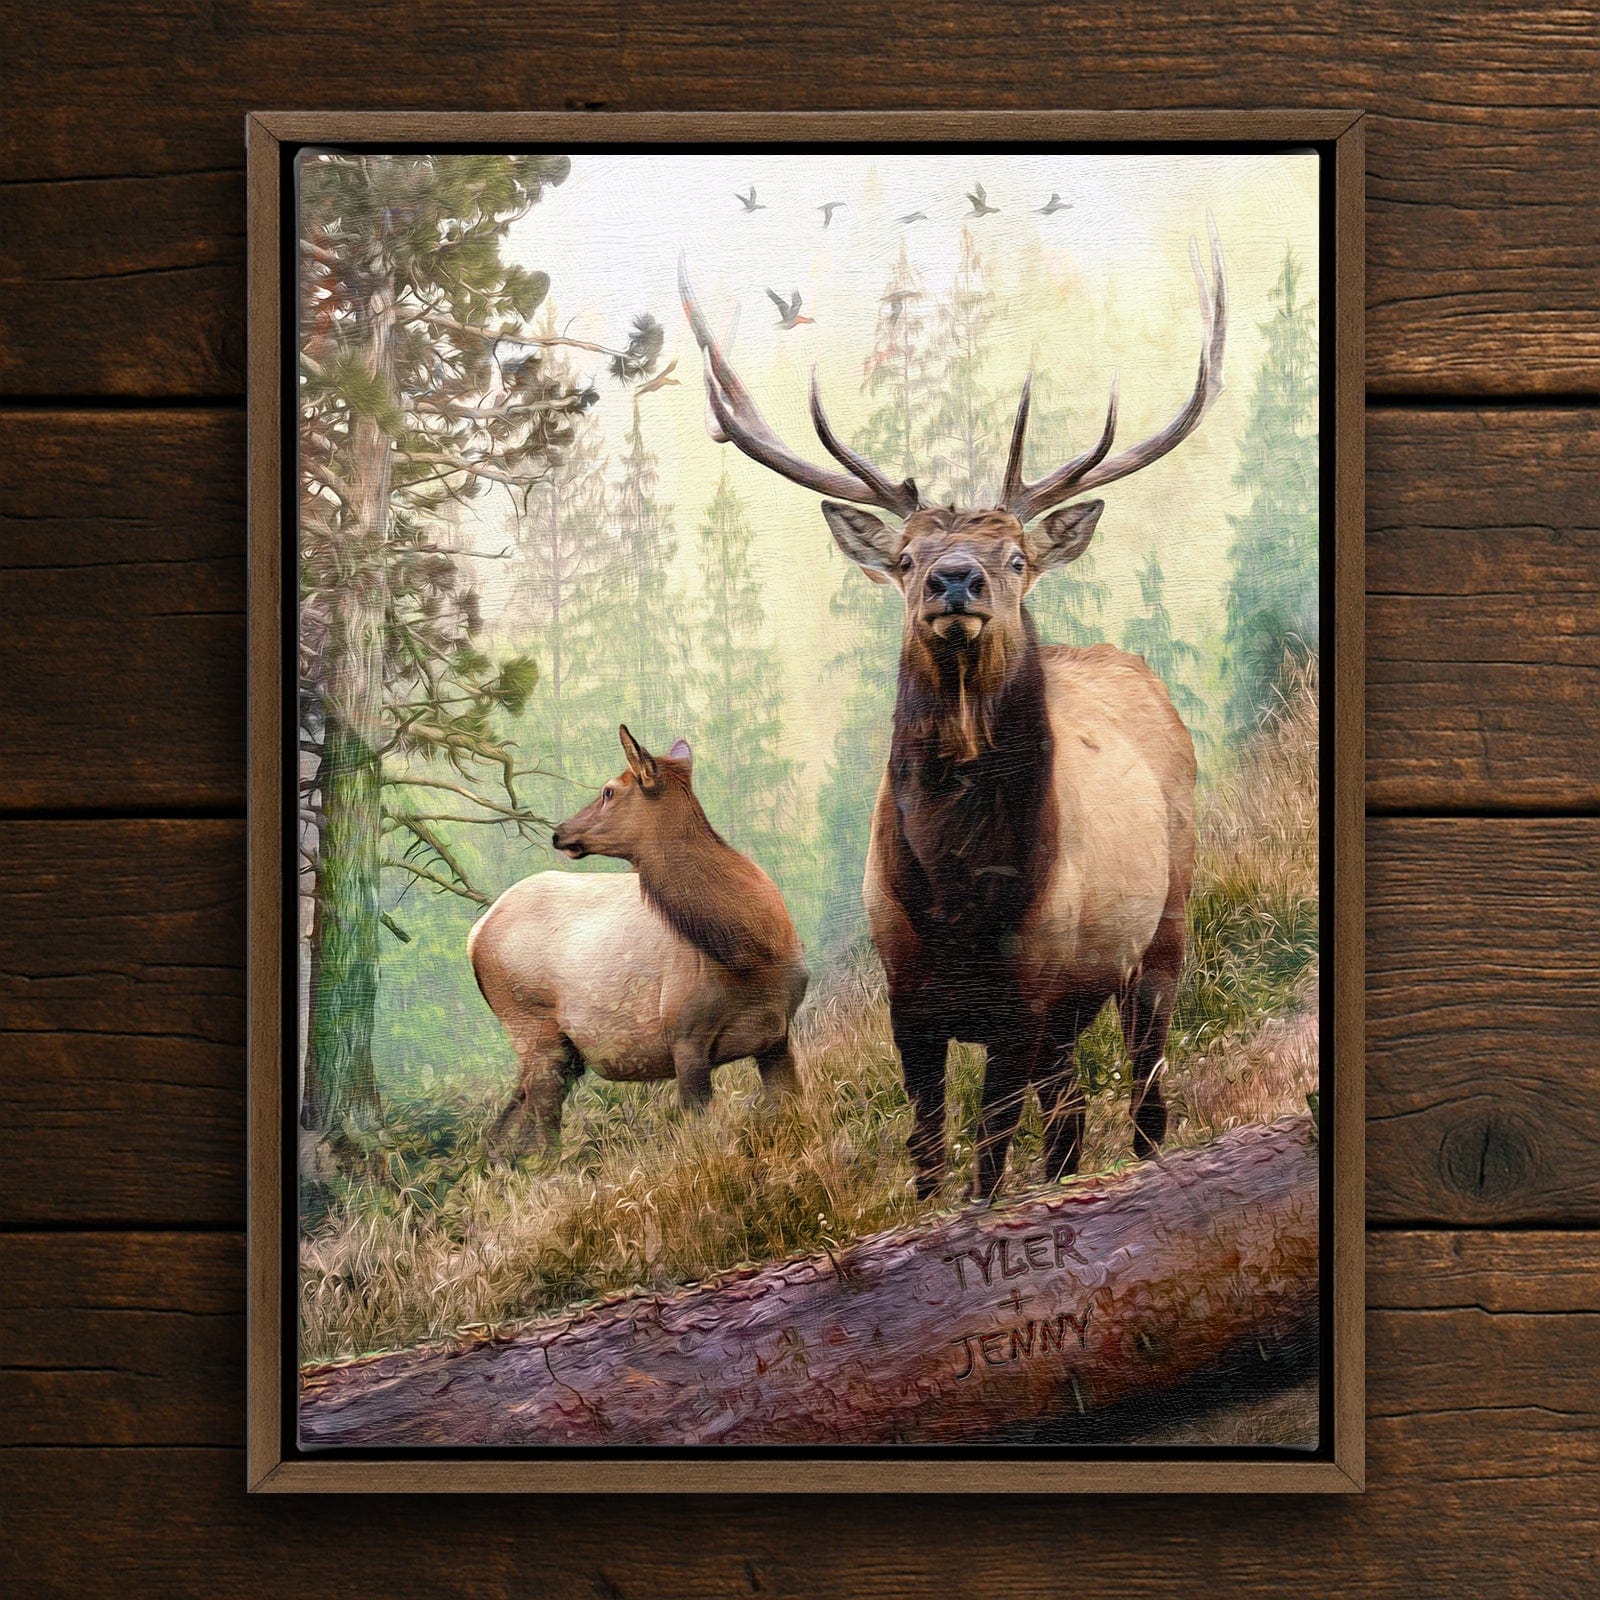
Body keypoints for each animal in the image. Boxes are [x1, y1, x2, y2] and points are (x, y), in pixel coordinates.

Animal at [467, 727, 809, 1156]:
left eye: (608, 790)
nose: (559, 832)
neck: (753, 951)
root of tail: (474, 936)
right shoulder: (685, 1038)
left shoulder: (776, 1034)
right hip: (532, 1029)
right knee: (544, 1140)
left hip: (560, 1053)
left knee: (507, 1127)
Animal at [679, 217, 1225, 1200]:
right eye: (903, 559)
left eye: (1015, 558)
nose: (955, 579)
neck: (961, 895)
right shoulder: (908, 991)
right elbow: (931, 1146)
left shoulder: (1029, 990)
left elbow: (989, 1148)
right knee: (1069, 1119)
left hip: (1163, 930)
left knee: (1144, 1090)